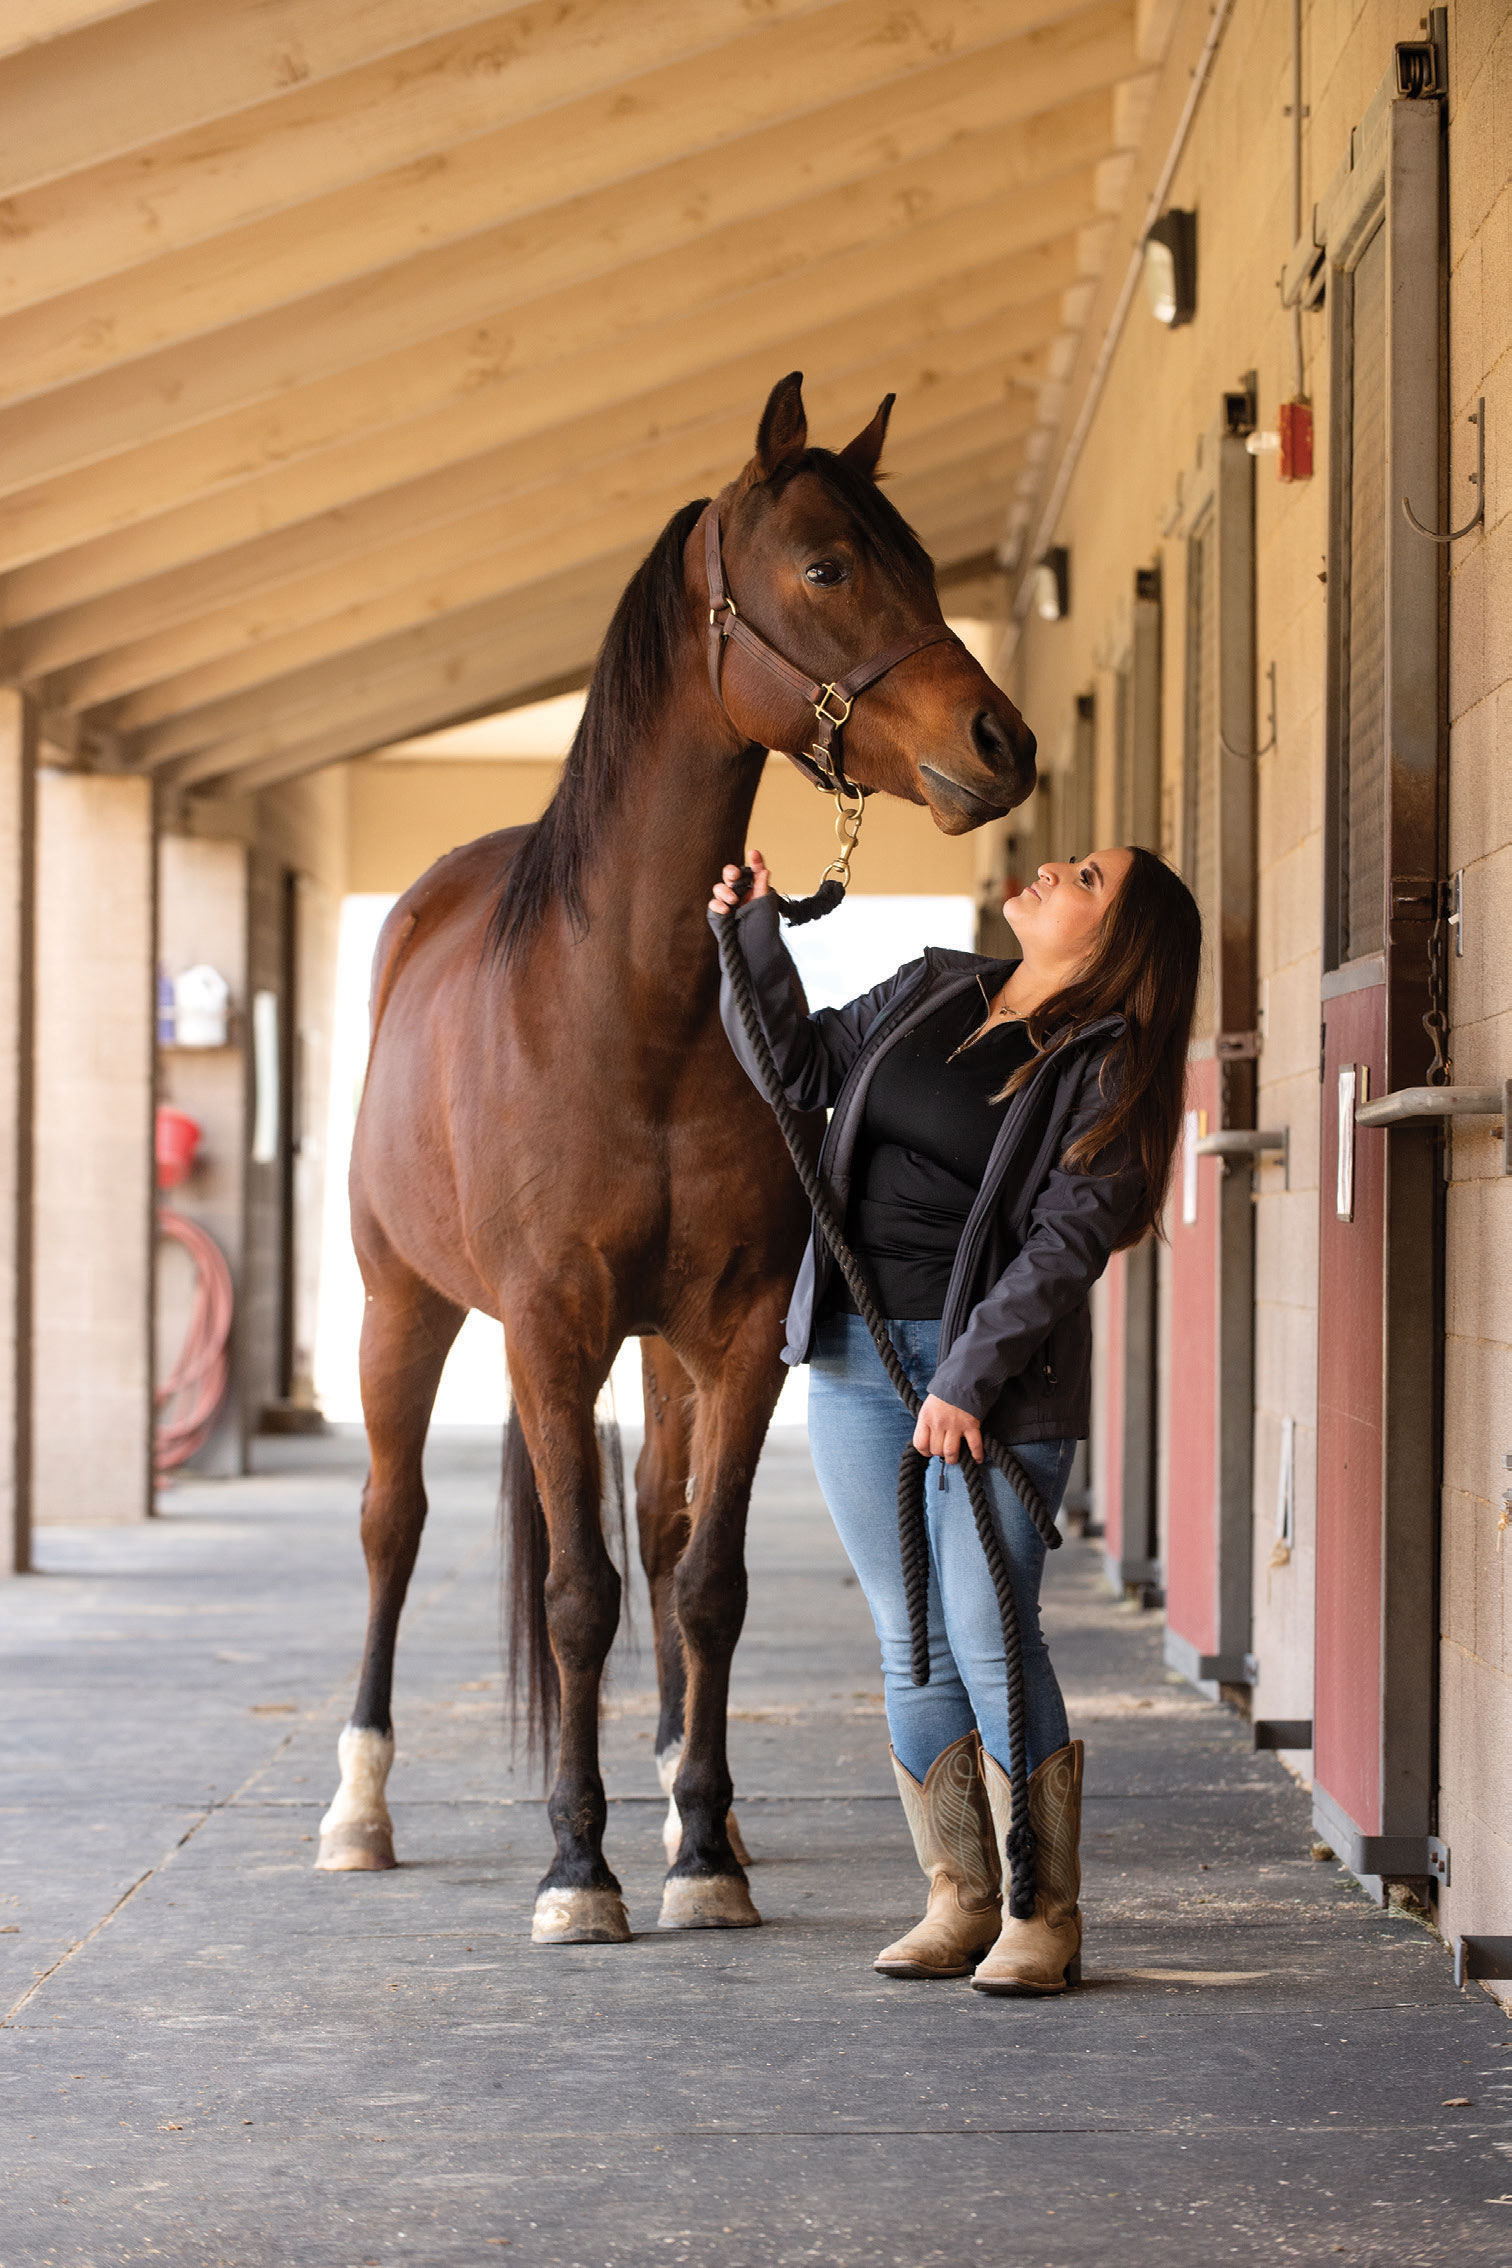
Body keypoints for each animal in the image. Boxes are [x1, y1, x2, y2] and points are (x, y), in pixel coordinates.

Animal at [312, 376, 1033, 1950]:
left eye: (925, 565)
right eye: (827, 566)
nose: (1002, 741)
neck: (624, 1006)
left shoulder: (740, 1328)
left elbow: (702, 1581)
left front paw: (701, 1848)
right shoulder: (546, 1329)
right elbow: (579, 1593)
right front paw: (574, 1871)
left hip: (658, 1349)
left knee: (655, 1525)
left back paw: (670, 1793)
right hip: (408, 1308)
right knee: (391, 1526)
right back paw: (359, 1808)